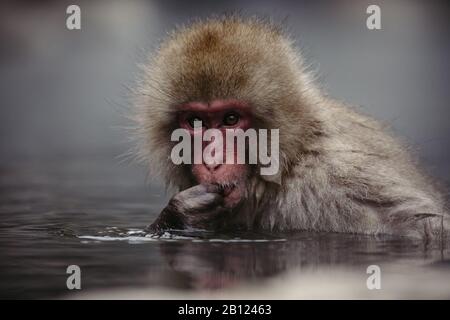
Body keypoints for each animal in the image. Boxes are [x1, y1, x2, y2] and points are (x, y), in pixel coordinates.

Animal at [132, 15, 448, 240]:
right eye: (196, 122)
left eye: (231, 119)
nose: (212, 161)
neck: (288, 164)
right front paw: (180, 214)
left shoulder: (342, 184)